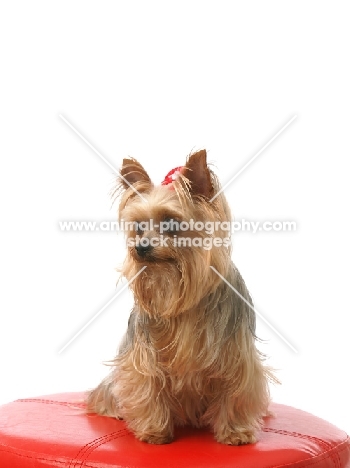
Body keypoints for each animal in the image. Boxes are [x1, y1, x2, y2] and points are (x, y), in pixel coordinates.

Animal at [85, 150, 276, 446]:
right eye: (138, 227)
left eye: (171, 222)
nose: (141, 247)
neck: (174, 282)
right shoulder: (145, 355)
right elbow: (147, 384)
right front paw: (154, 431)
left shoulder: (237, 354)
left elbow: (236, 390)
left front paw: (236, 432)